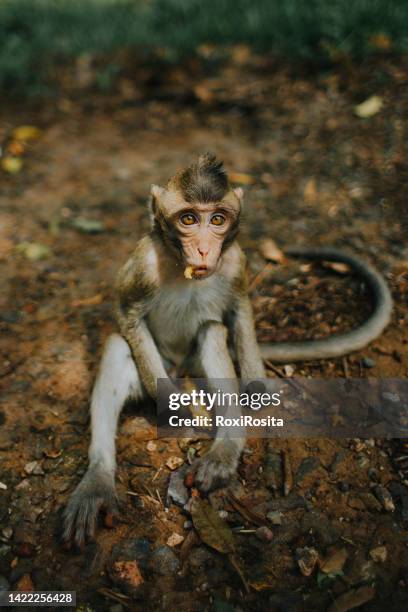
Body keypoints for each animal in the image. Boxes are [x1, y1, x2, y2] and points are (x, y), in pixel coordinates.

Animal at [63, 152, 392, 544]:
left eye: (217, 219)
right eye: (189, 219)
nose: (205, 248)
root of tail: (181, 369)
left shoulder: (236, 261)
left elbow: (239, 309)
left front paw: (255, 384)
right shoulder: (143, 264)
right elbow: (128, 313)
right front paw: (171, 405)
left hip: (196, 363)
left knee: (212, 331)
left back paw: (224, 450)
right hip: (163, 366)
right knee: (117, 343)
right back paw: (97, 481)